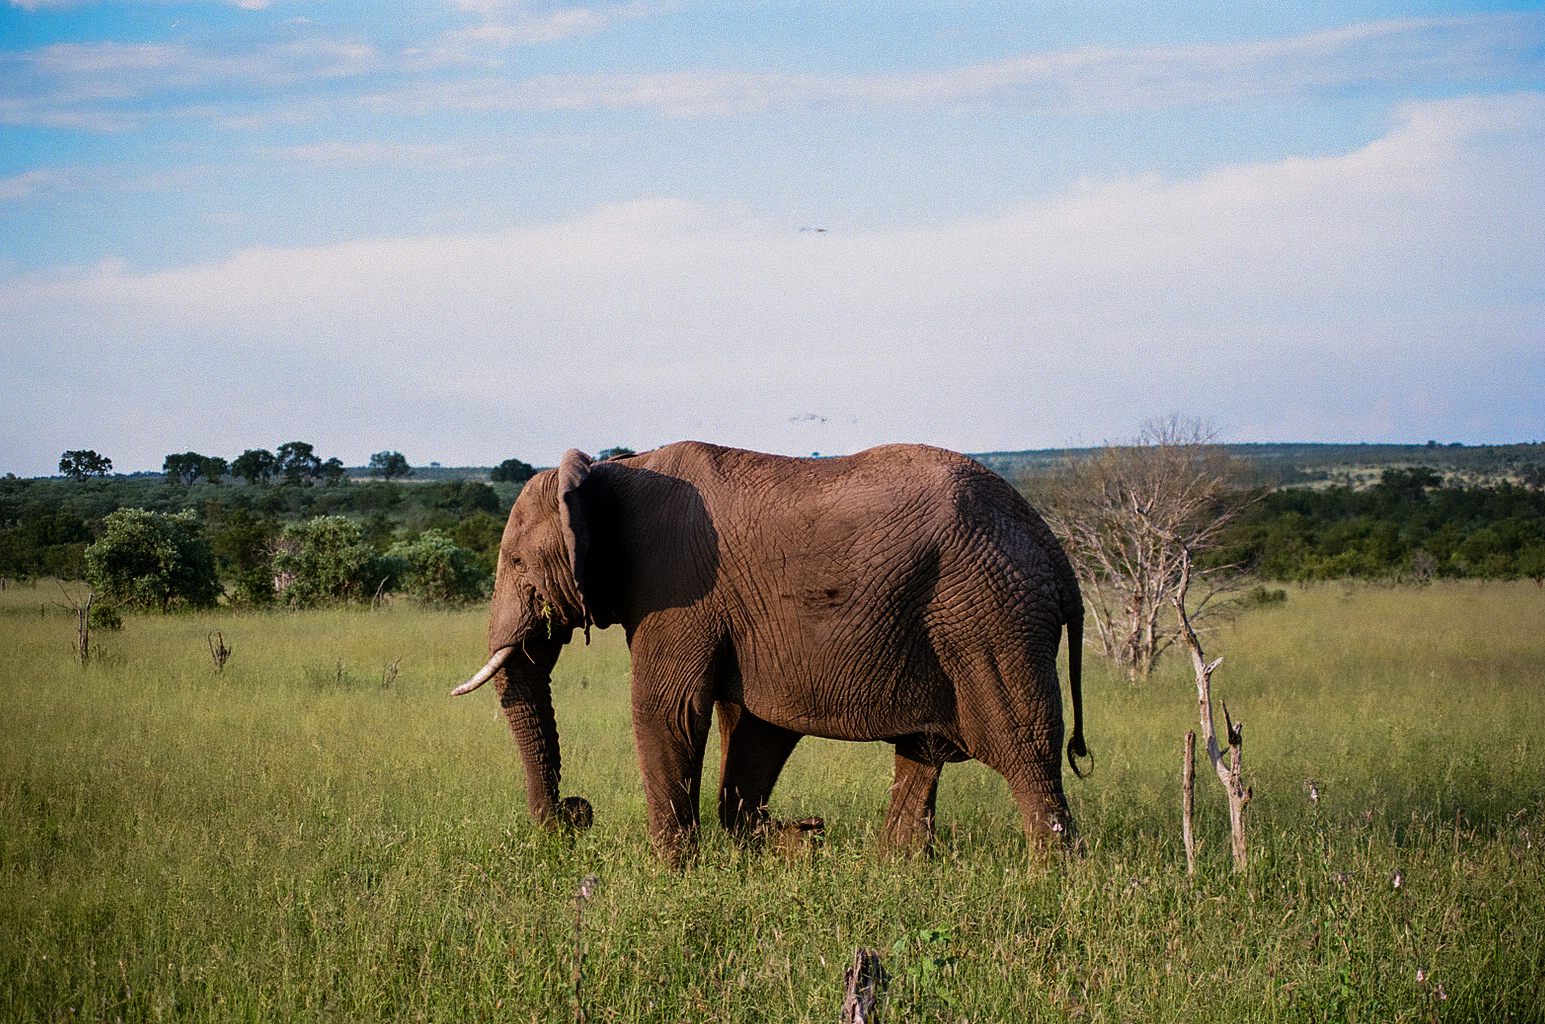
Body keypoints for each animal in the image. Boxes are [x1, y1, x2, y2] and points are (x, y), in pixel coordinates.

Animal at [454, 441, 1089, 863]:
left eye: (516, 562)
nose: (575, 815)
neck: (611, 472)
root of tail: (1056, 554)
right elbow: (751, 724)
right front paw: (794, 841)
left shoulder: (677, 588)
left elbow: (667, 710)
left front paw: (670, 875)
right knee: (924, 751)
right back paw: (898, 869)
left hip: (992, 620)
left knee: (1024, 750)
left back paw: (1052, 879)